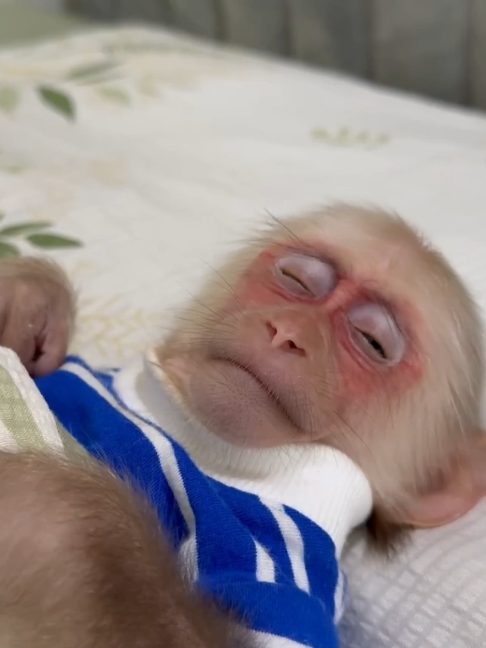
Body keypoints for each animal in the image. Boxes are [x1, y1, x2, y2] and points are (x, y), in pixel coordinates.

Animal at [0, 203, 484, 648]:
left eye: (372, 342)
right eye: (297, 280)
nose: (288, 331)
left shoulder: (297, 556)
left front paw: (54, 513)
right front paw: (30, 301)